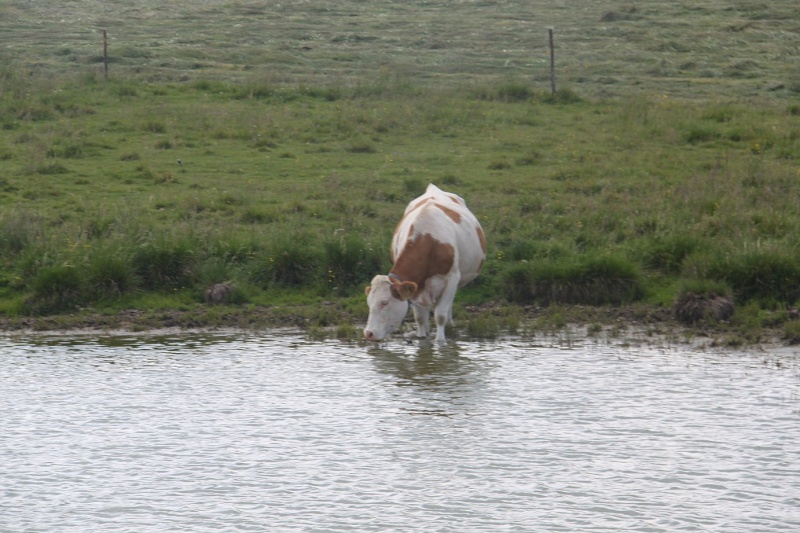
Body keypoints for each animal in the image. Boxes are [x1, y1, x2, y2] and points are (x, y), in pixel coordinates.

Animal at [364, 182, 488, 340]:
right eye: (369, 303)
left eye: (384, 302)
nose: (368, 333)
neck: (428, 239)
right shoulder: (416, 284)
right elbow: (420, 318)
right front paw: (422, 337)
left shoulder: (452, 278)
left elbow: (440, 315)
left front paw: (440, 341)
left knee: (448, 304)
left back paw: (450, 322)